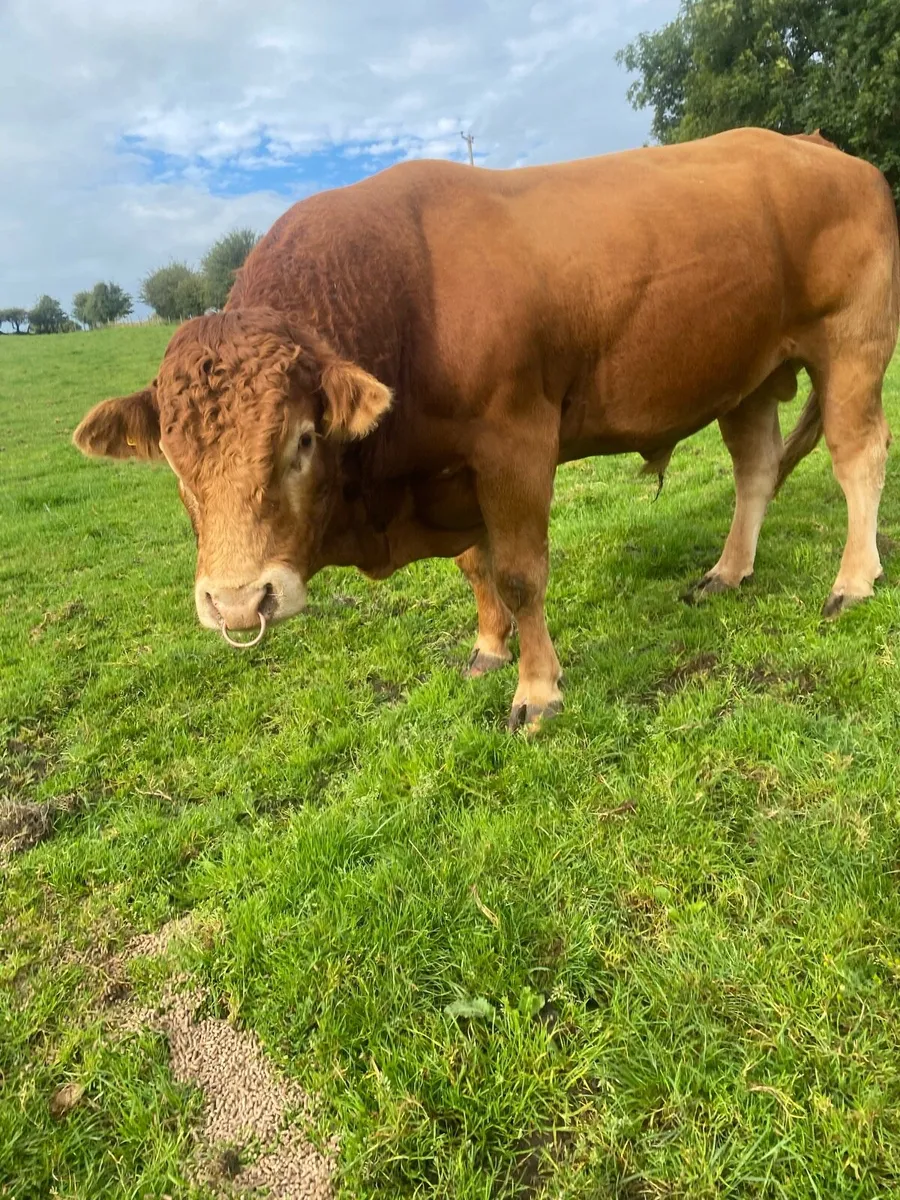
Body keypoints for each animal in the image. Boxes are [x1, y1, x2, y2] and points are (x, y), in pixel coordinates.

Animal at [73, 128, 900, 731]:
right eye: (175, 465)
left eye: (303, 441)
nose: (241, 602)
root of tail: (820, 146)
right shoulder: (452, 467)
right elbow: (476, 566)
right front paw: (487, 649)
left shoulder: (514, 444)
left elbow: (519, 572)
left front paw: (537, 691)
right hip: (748, 374)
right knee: (756, 468)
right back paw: (728, 571)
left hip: (853, 343)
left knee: (858, 457)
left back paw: (853, 580)